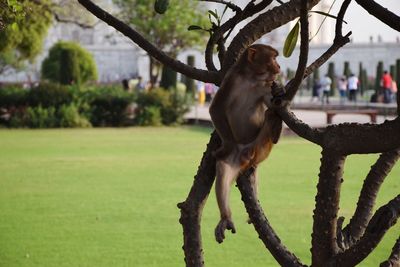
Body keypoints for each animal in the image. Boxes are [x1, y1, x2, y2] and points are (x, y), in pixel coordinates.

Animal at [208, 44, 282, 245]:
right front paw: (227, 145)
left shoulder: (267, 86)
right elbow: (216, 108)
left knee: (270, 115)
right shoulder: (231, 79)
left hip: (262, 146)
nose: (279, 67)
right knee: (223, 171)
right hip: (236, 158)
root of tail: (248, 155)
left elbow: (273, 103)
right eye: (273, 58)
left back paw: (275, 132)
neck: (251, 78)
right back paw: (225, 217)